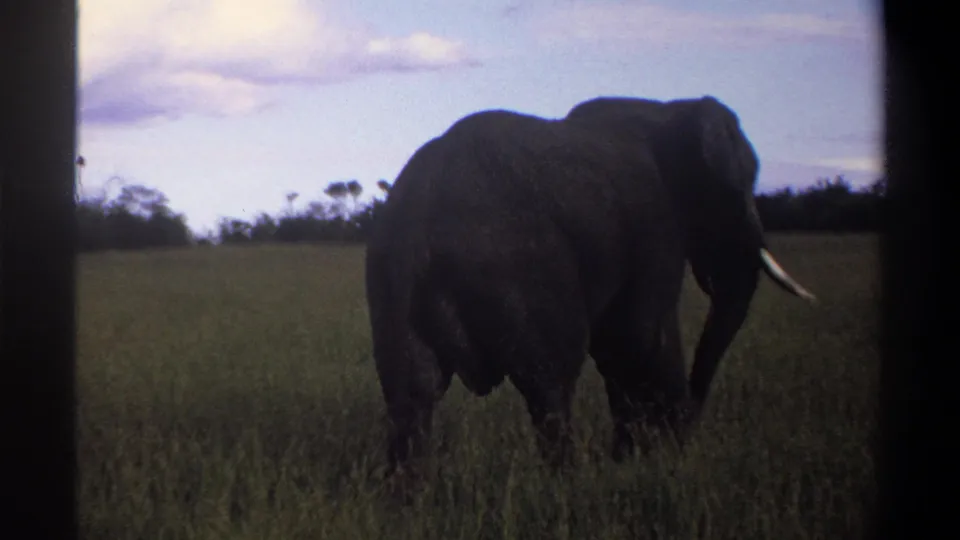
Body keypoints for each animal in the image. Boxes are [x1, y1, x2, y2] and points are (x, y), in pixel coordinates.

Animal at [364, 96, 816, 477]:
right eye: (738, 190)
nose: (685, 426)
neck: (670, 110)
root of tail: (419, 226)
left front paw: (636, 459)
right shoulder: (653, 221)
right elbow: (642, 338)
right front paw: (652, 459)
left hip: (391, 284)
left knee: (411, 396)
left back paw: (409, 497)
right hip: (526, 271)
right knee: (550, 385)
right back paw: (567, 484)